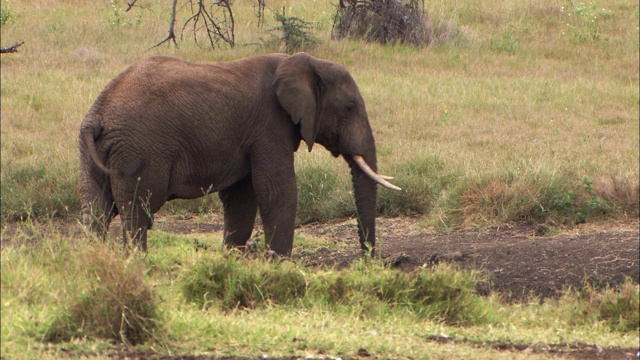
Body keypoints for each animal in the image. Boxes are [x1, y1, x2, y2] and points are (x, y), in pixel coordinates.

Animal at [79, 53, 400, 256]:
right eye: (349, 108)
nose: (368, 260)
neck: (304, 61)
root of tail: (99, 114)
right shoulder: (270, 126)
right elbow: (276, 190)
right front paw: (280, 267)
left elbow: (242, 199)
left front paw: (231, 262)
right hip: (140, 151)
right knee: (137, 212)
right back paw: (138, 264)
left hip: (92, 152)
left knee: (96, 211)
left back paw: (94, 262)